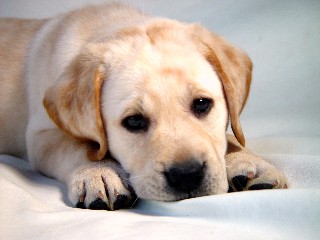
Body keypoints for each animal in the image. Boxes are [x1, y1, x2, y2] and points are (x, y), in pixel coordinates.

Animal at [0, 3, 288, 210]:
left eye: (202, 104)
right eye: (134, 121)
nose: (187, 175)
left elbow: (229, 138)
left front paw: (247, 160)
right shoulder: (40, 136)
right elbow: (79, 146)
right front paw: (99, 172)